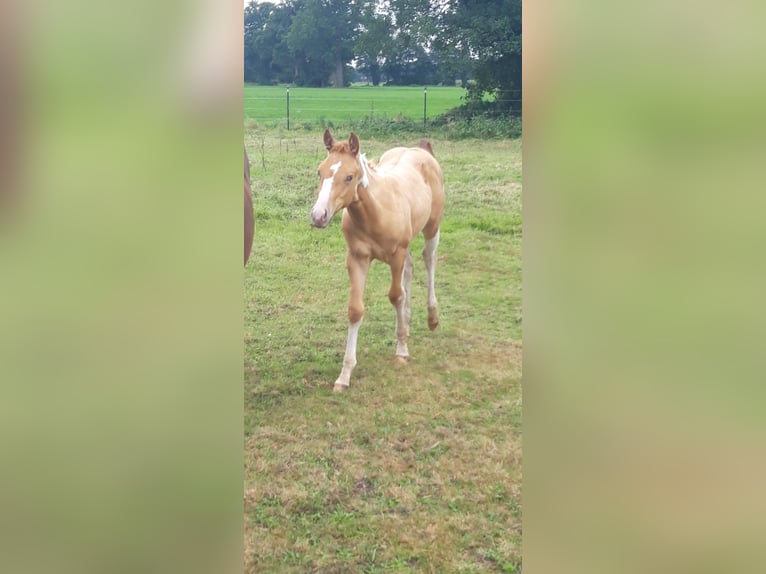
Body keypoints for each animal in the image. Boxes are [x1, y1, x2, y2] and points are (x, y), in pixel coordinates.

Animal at [310, 129, 445, 391]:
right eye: (320, 171)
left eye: (349, 176)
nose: (318, 216)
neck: (376, 212)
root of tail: (420, 149)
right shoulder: (357, 258)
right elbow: (355, 309)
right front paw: (344, 375)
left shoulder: (396, 254)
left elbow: (395, 295)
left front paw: (401, 350)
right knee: (411, 269)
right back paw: (408, 322)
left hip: (432, 228)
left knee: (429, 261)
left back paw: (432, 318)